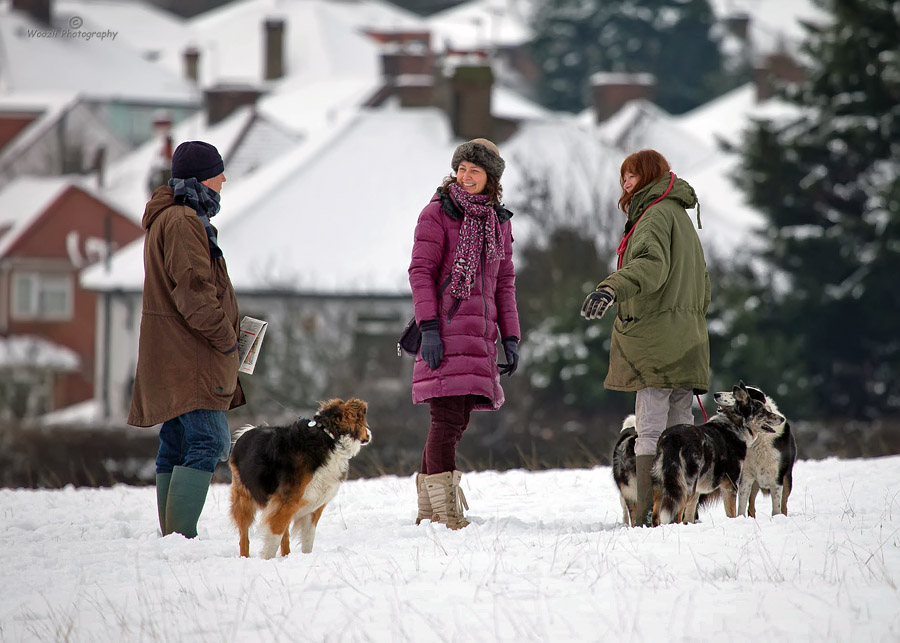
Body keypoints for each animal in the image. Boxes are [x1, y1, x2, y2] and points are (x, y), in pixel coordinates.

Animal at [652, 384, 784, 524]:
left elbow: (689, 515)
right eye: (763, 411)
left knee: (656, 517)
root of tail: (672, 438)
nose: (782, 418)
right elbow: (732, 514)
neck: (735, 425)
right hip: (684, 486)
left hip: (660, 485)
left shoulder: (698, 490)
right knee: (676, 515)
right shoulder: (730, 485)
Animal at [712, 384, 800, 516]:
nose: (716, 394)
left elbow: (777, 507)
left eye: (734, 393)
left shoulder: (777, 477)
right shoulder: (746, 476)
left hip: (787, 478)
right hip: (754, 482)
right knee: (751, 506)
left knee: (784, 504)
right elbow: (742, 506)